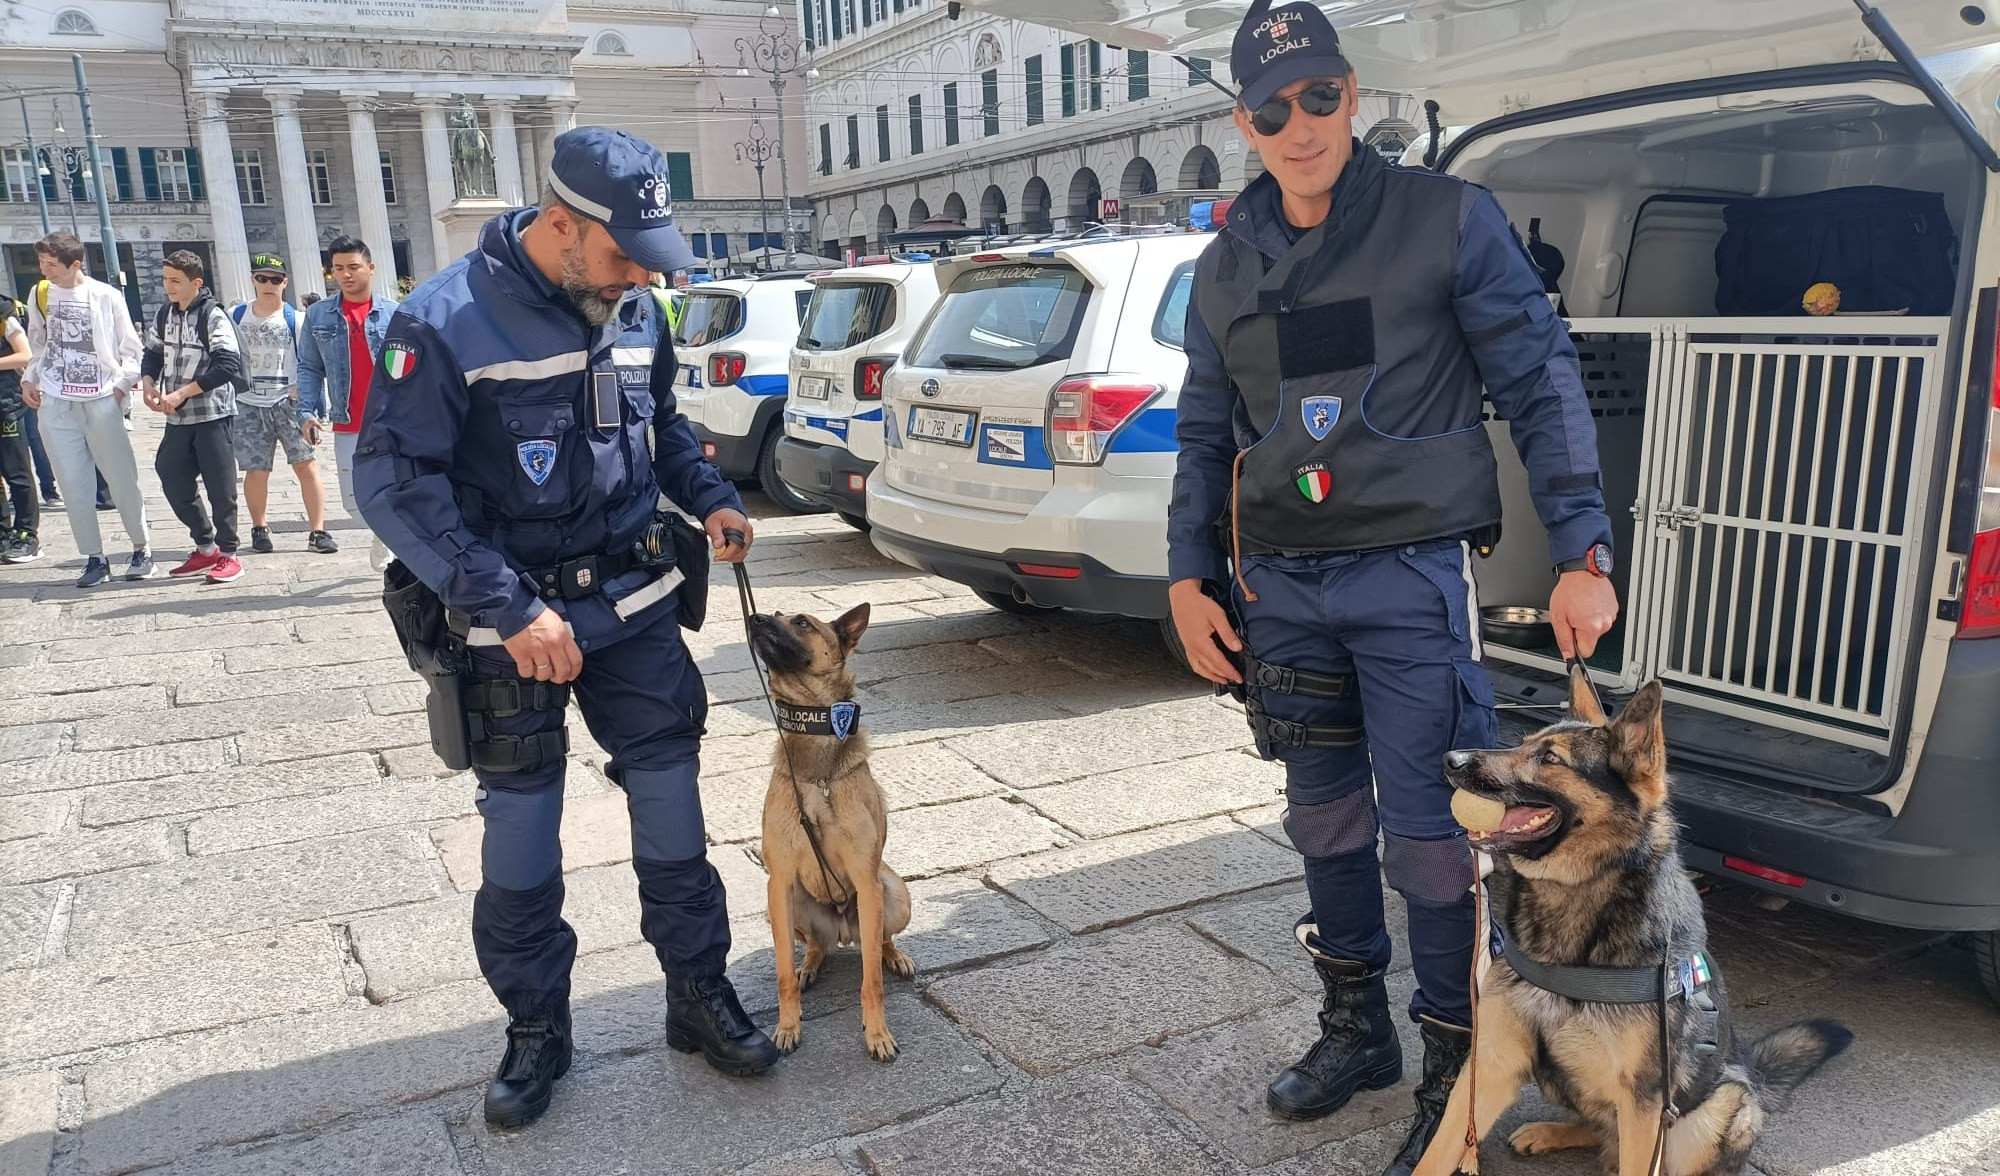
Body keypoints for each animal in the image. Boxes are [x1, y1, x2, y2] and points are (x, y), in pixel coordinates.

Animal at [744, 600, 916, 1064]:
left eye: (802, 622)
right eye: (775, 615)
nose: (755, 619)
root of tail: (841, 931)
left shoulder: (866, 880)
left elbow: (871, 981)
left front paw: (877, 1034)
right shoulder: (778, 881)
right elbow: (781, 974)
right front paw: (787, 1027)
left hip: (892, 893)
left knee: (880, 940)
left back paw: (895, 956)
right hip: (787, 905)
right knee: (814, 946)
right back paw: (809, 965)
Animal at [1416, 672, 1848, 1176]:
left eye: (1550, 758)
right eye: (1523, 744)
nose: (1451, 760)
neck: (1572, 907)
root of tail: (1751, 1070)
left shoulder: (1645, 1103)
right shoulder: (1489, 1069)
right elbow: (1437, 1154)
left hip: (1718, 1109)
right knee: (1604, 1132)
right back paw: (1550, 1132)